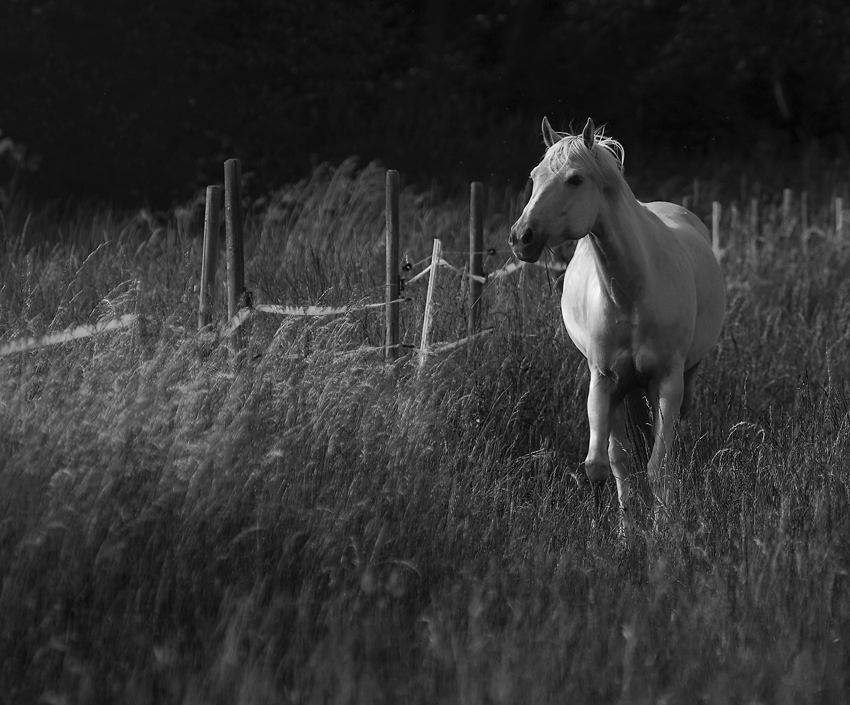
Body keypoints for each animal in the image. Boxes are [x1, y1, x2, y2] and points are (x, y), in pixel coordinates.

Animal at [506, 117, 724, 532]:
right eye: (535, 176)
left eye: (575, 179)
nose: (521, 237)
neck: (634, 294)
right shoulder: (604, 382)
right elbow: (601, 466)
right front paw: (615, 534)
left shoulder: (667, 383)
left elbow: (659, 467)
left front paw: (663, 531)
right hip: (622, 392)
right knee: (620, 459)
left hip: (682, 381)